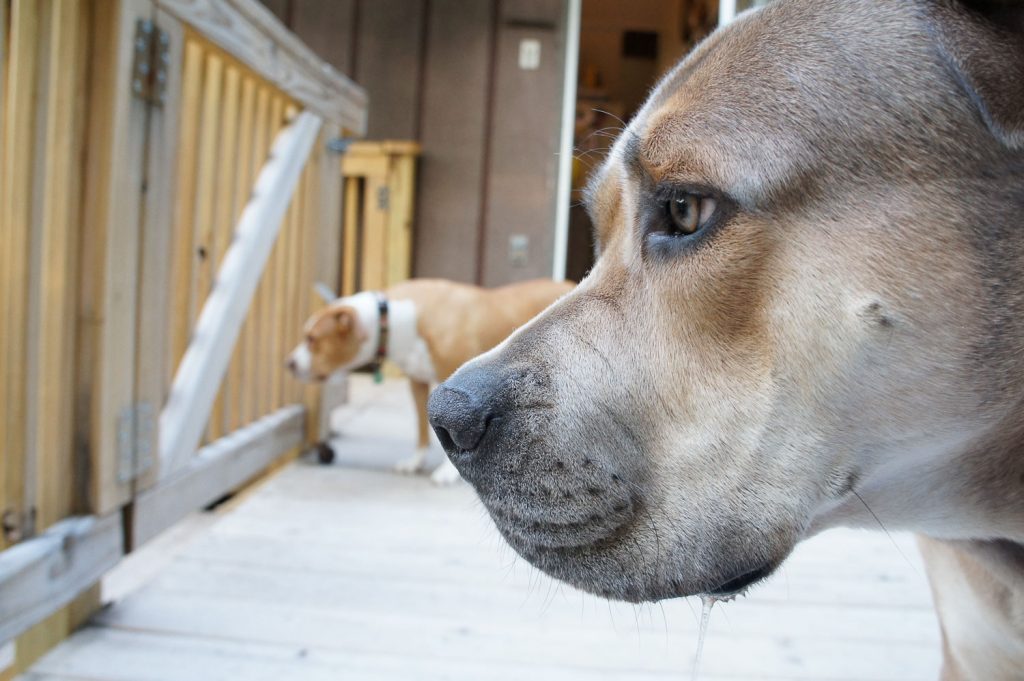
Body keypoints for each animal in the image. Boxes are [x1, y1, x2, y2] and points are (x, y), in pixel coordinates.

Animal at [288, 276, 577, 483]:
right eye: (305, 335)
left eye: (312, 339)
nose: (289, 363)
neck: (394, 319)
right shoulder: (417, 383)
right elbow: (420, 428)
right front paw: (415, 462)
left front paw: (448, 473)